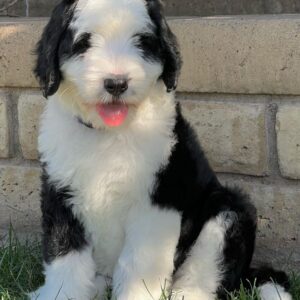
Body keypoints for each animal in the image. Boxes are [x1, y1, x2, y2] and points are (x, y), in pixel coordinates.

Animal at [29, 0, 292, 300]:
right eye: (84, 43)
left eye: (142, 42)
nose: (116, 83)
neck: (109, 134)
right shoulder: (60, 194)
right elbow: (66, 257)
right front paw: (60, 294)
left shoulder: (159, 197)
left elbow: (139, 263)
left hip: (229, 209)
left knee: (208, 265)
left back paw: (187, 293)